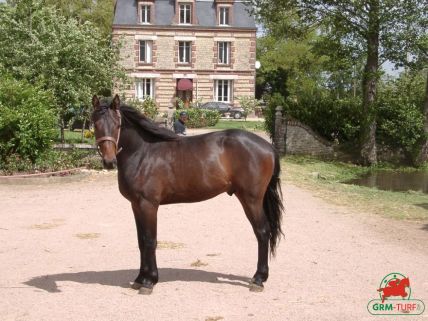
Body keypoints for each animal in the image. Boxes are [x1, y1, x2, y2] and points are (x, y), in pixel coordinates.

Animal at [90, 94, 284, 292]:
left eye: (117, 125)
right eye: (95, 124)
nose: (109, 161)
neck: (143, 153)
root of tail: (268, 147)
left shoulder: (148, 205)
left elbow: (150, 240)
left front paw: (149, 281)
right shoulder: (136, 205)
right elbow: (141, 241)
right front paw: (140, 278)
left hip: (251, 200)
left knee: (262, 232)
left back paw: (258, 278)